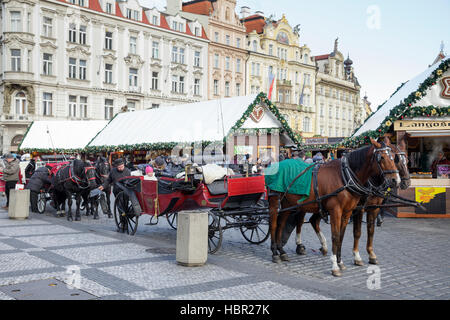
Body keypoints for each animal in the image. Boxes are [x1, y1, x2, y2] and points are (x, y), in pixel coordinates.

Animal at [266, 136, 400, 276]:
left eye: (393, 157)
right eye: (382, 157)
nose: (396, 180)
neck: (344, 177)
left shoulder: (348, 212)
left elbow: (342, 235)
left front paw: (340, 262)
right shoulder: (337, 211)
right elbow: (336, 236)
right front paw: (335, 265)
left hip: (288, 204)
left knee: (282, 224)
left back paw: (282, 252)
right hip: (275, 202)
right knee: (274, 225)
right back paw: (275, 253)